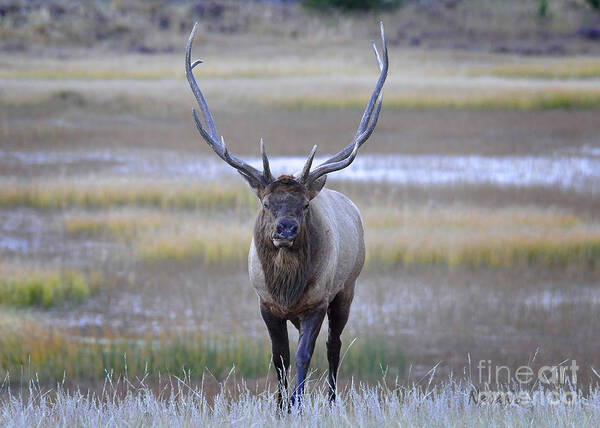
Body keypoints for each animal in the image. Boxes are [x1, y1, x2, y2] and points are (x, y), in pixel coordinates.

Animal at [185, 21, 386, 406]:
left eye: (304, 205)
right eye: (266, 203)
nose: (286, 230)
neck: (286, 290)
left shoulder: (318, 301)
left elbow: (306, 355)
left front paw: (296, 403)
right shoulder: (265, 304)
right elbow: (279, 358)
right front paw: (278, 405)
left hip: (348, 288)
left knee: (334, 346)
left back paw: (331, 399)